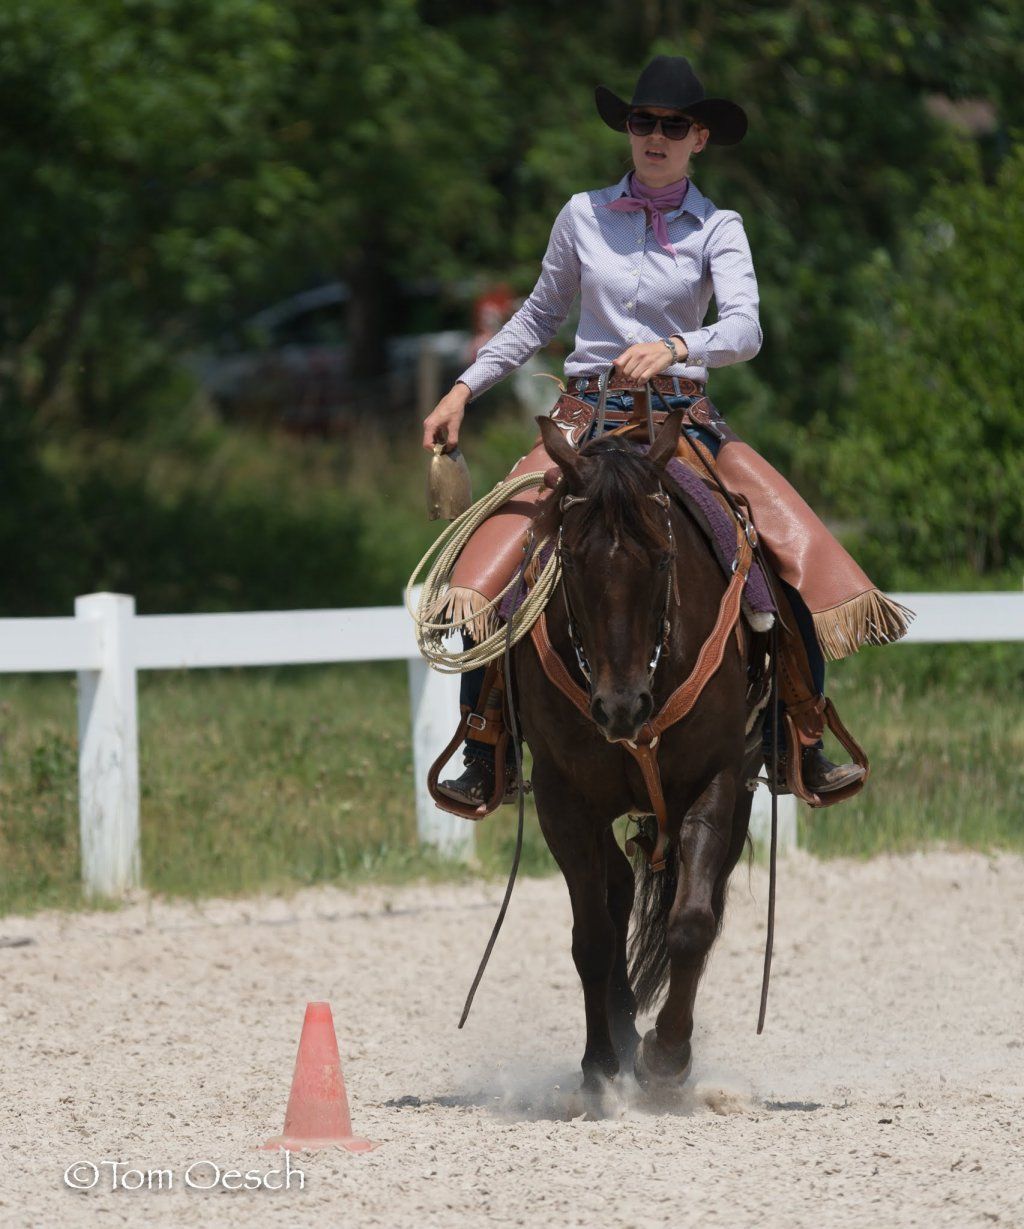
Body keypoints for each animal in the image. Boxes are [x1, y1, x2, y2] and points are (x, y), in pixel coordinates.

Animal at [513, 409, 767, 1092]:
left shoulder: (718, 778)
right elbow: (593, 938)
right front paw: (600, 1066)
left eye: (661, 557)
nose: (619, 707)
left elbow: (691, 924)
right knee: (617, 892)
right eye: (570, 560)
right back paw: (621, 1035)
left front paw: (668, 1058)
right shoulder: (562, 799)